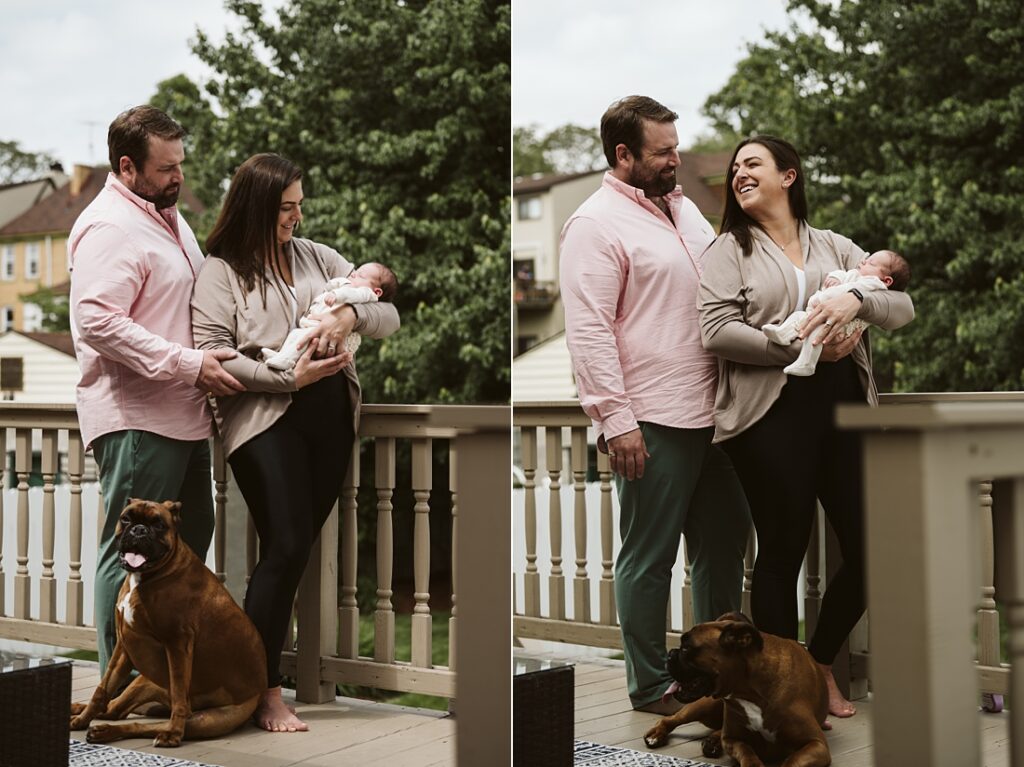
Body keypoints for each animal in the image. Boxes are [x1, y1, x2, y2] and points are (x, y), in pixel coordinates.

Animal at [71, 499, 268, 745]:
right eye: (126, 518)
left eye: (158, 524)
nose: (139, 530)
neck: (148, 576)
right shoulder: (124, 647)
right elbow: (102, 690)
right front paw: (82, 720)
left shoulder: (177, 644)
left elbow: (179, 695)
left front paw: (174, 732)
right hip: (142, 682)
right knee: (114, 709)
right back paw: (81, 712)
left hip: (206, 720)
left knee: (142, 721)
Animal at [647, 610, 831, 765]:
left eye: (686, 648)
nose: (670, 653)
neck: (750, 692)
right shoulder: (733, 740)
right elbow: (746, 751)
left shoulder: (816, 744)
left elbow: (792, 761)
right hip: (704, 706)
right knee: (671, 719)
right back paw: (656, 735)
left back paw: (712, 741)